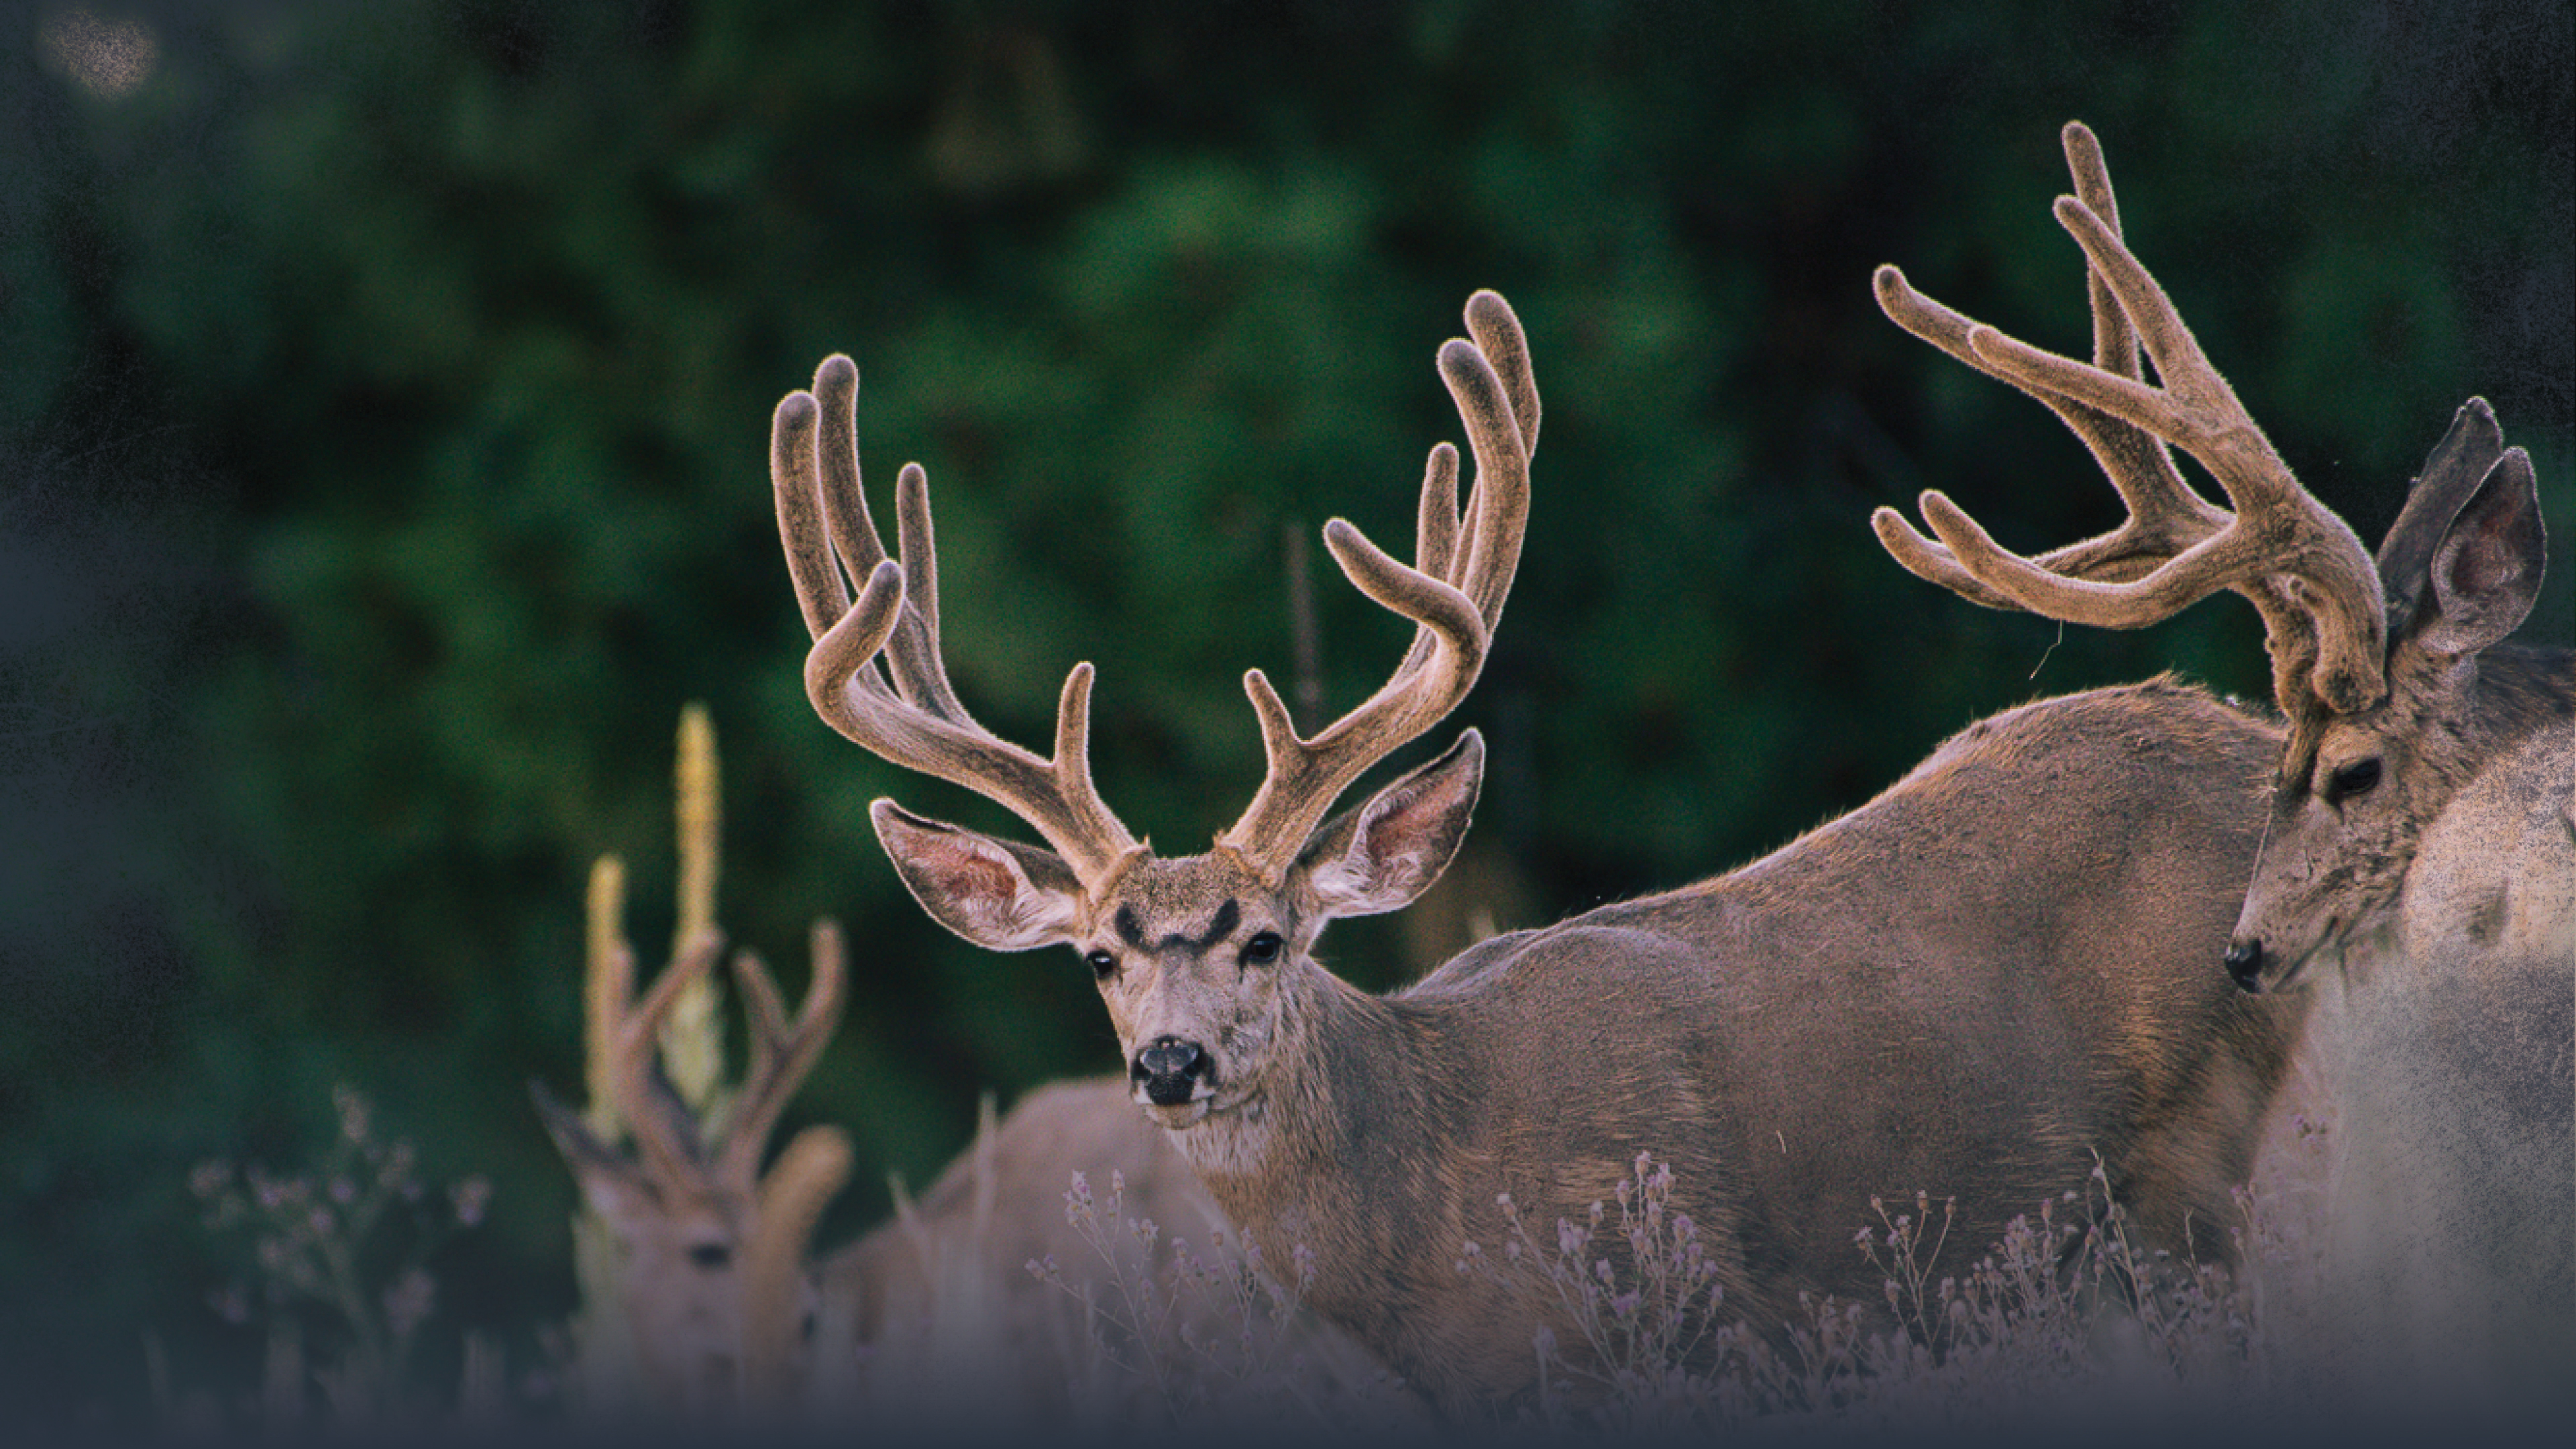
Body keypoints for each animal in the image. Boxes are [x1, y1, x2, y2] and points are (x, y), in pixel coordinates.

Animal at [766, 288, 2311, 1416]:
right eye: (1096, 958)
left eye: (1267, 939)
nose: (1170, 1062)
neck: (1438, 1188)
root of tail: (2262, 742)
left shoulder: (1702, 1326)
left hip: (2214, 1169)